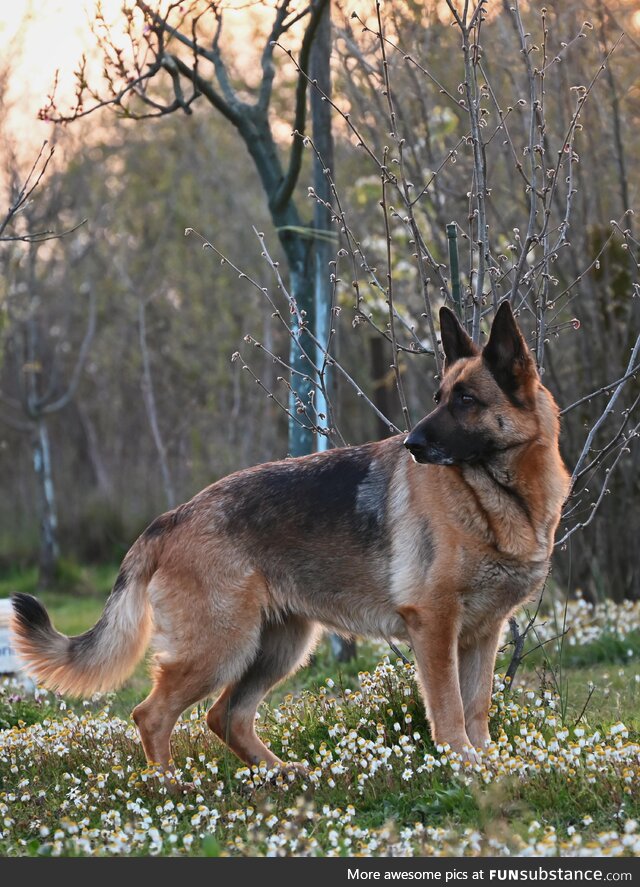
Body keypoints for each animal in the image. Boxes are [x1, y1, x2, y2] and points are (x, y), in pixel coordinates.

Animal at [11, 304, 568, 776]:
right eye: (438, 400)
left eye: (466, 401)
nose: (411, 444)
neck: (498, 499)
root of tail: (171, 517)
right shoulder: (435, 626)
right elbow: (450, 710)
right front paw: (464, 766)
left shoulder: (482, 634)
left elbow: (477, 709)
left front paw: (488, 767)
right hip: (221, 648)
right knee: (153, 715)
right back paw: (171, 787)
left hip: (276, 649)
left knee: (225, 716)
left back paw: (278, 774)